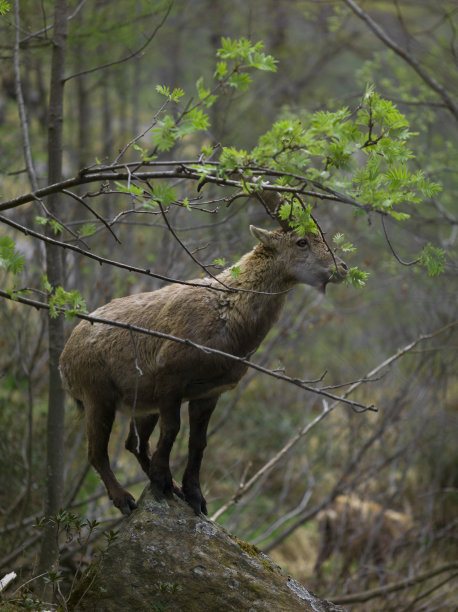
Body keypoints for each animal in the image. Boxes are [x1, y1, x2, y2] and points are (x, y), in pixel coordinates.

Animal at [58, 197, 348, 516]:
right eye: (301, 241)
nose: (343, 268)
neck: (228, 312)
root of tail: (65, 356)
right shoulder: (170, 379)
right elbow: (172, 429)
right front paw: (162, 481)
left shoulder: (208, 392)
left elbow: (198, 442)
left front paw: (194, 496)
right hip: (98, 395)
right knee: (96, 452)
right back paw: (125, 498)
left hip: (141, 404)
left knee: (134, 444)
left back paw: (168, 486)